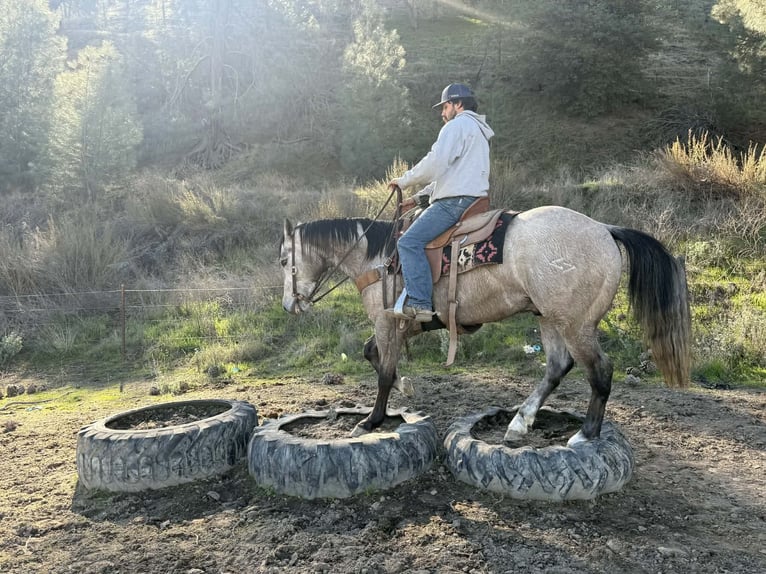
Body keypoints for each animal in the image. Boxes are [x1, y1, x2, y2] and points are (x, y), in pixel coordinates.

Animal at [280, 205, 691, 445]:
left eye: (284, 260)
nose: (289, 305)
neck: (377, 258)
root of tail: (604, 229)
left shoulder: (385, 320)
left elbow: (381, 372)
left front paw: (371, 421)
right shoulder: (404, 325)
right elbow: (375, 357)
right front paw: (404, 385)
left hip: (576, 323)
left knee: (600, 371)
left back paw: (585, 434)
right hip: (549, 318)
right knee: (558, 367)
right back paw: (520, 423)